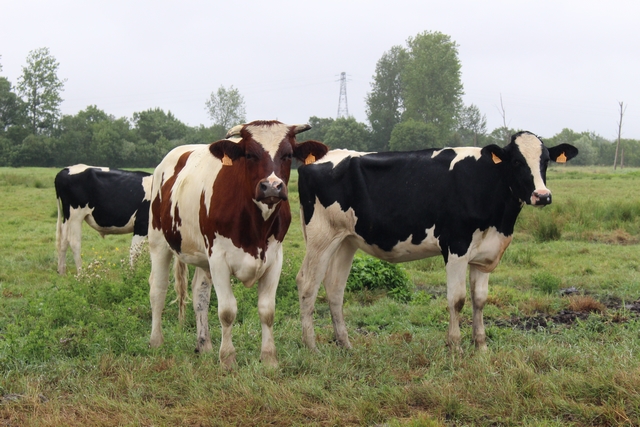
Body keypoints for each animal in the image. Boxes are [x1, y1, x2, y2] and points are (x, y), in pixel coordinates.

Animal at [148, 120, 328, 368]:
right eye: (249, 154)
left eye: (288, 154)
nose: (272, 186)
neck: (256, 226)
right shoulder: (218, 258)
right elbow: (227, 311)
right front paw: (228, 359)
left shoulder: (274, 258)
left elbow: (267, 310)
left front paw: (269, 358)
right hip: (158, 240)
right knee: (158, 289)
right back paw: (156, 342)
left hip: (202, 258)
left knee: (199, 295)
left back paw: (204, 345)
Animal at [298, 132, 576, 352]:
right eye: (517, 161)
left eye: (545, 161)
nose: (542, 195)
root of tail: (318, 160)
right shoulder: (456, 246)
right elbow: (457, 299)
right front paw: (455, 346)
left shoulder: (484, 254)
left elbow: (479, 299)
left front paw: (481, 347)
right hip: (320, 237)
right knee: (307, 284)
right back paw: (312, 348)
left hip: (346, 240)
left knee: (335, 287)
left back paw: (345, 345)